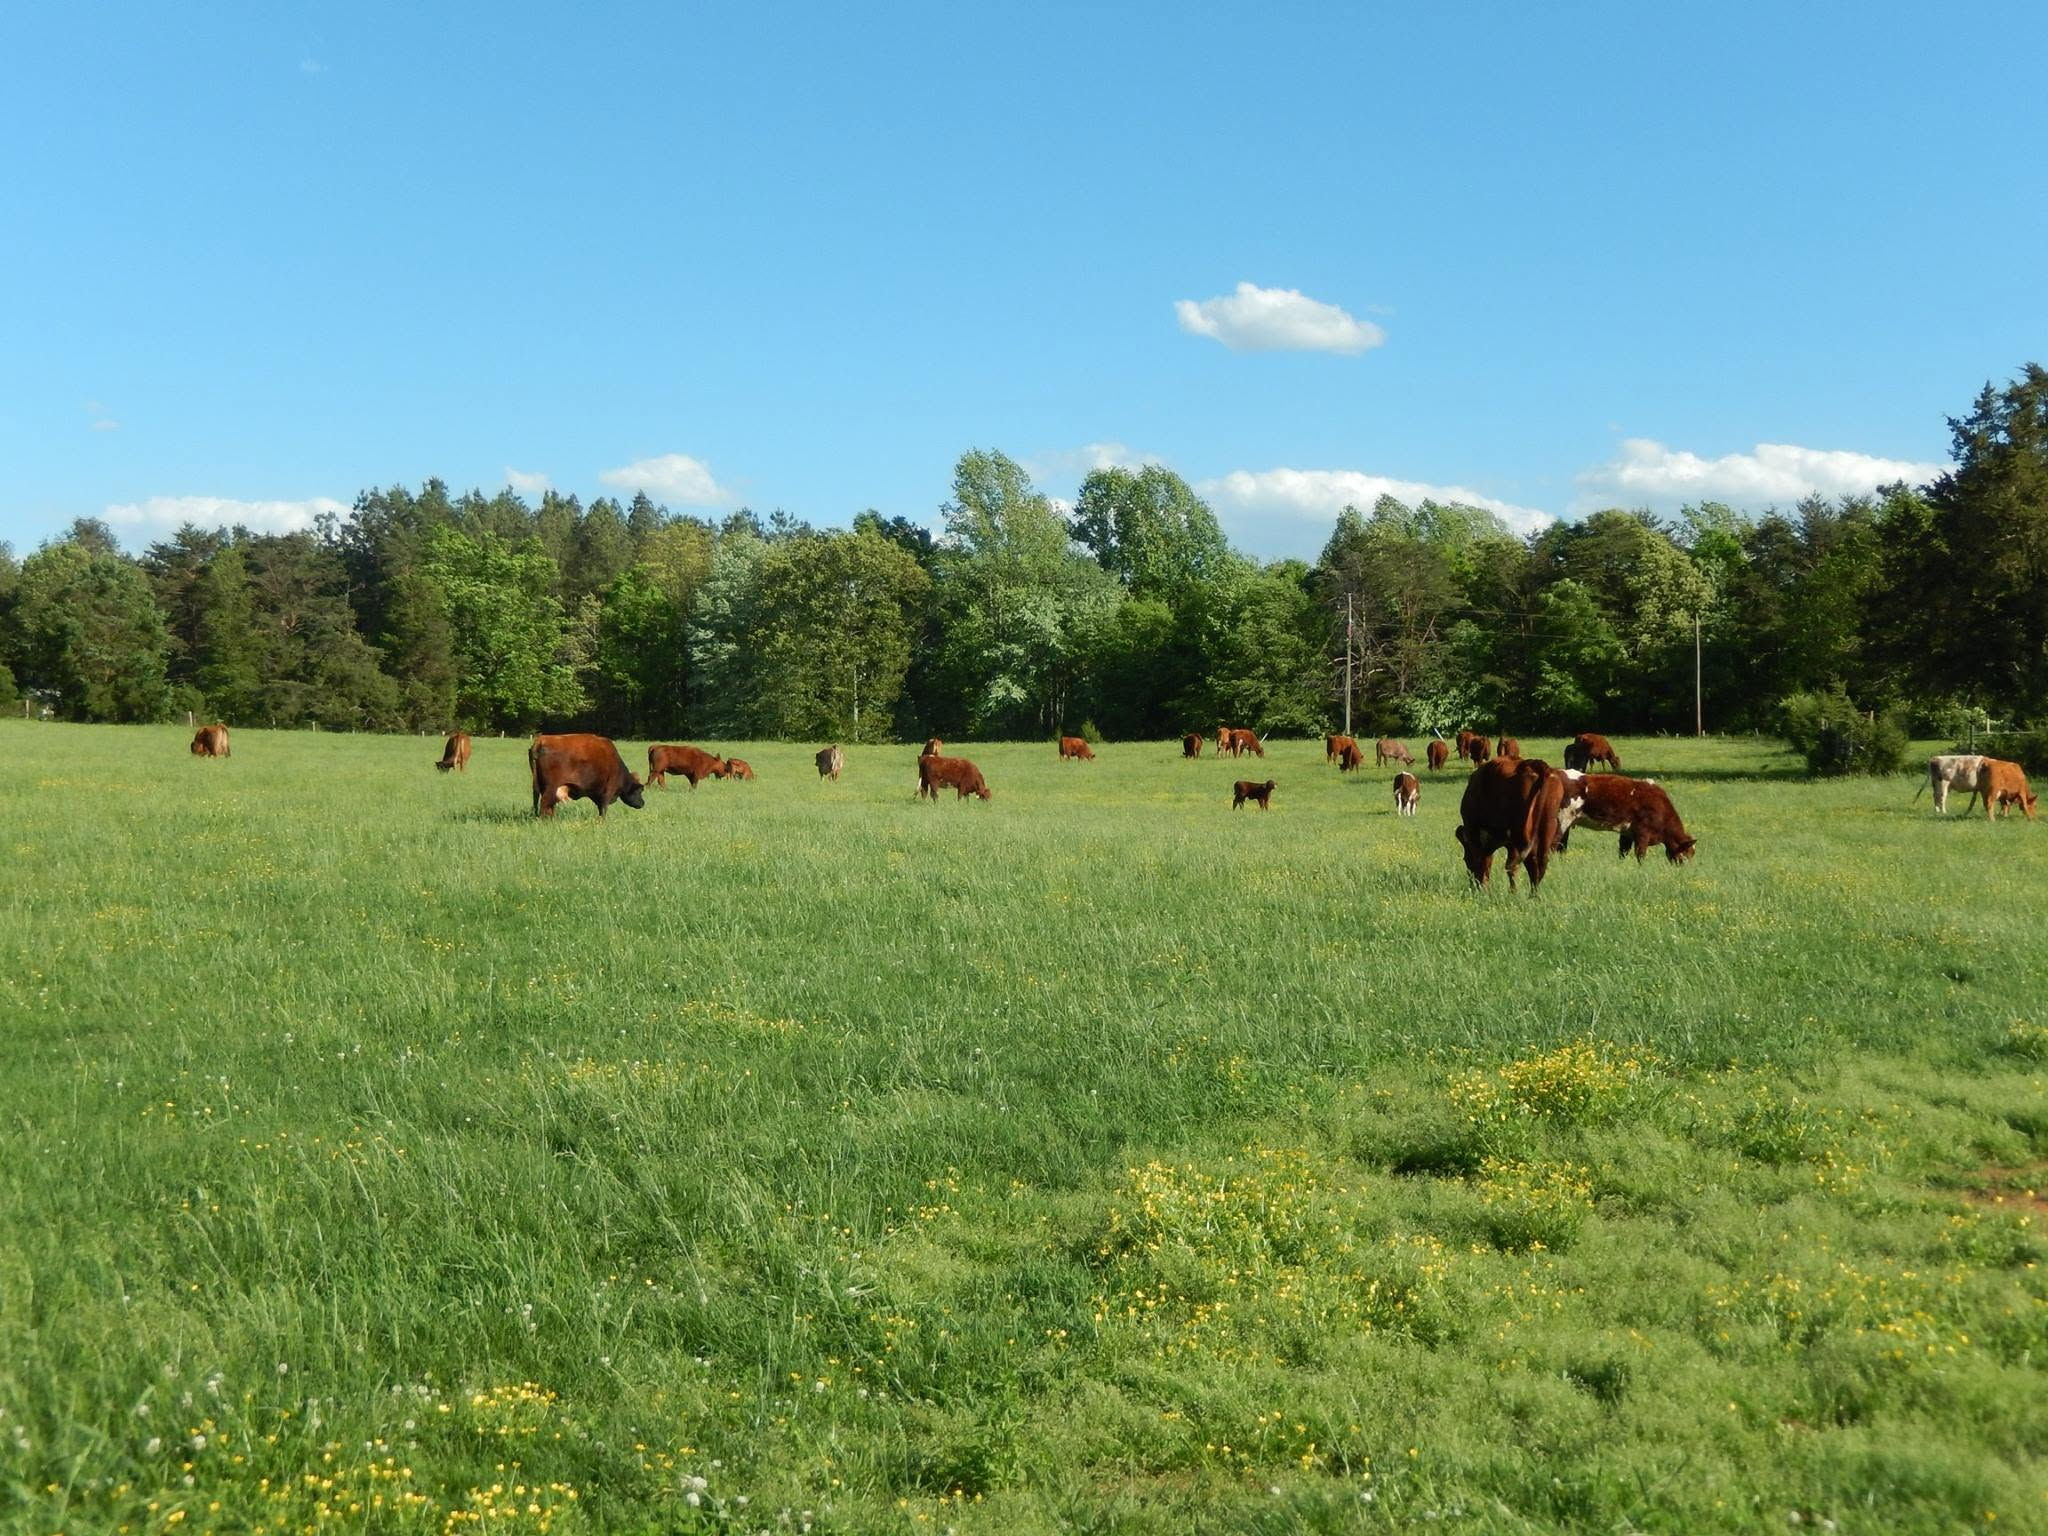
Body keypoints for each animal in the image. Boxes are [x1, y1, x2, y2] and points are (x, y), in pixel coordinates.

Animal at [1455, 757, 1569, 894]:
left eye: (1466, 859)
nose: (1472, 884)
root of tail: (1534, 764)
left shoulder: (1474, 833)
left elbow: (1483, 862)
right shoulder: (1510, 844)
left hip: (1522, 834)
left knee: (1531, 863)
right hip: (1547, 827)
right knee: (1540, 863)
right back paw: (1534, 895)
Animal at [1556, 772, 1696, 862]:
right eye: (1687, 853)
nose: (1686, 869)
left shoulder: (1627, 833)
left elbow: (1623, 852)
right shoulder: (1642, 833)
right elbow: (1640, 855)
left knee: (1562, 845)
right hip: (1562, 820)